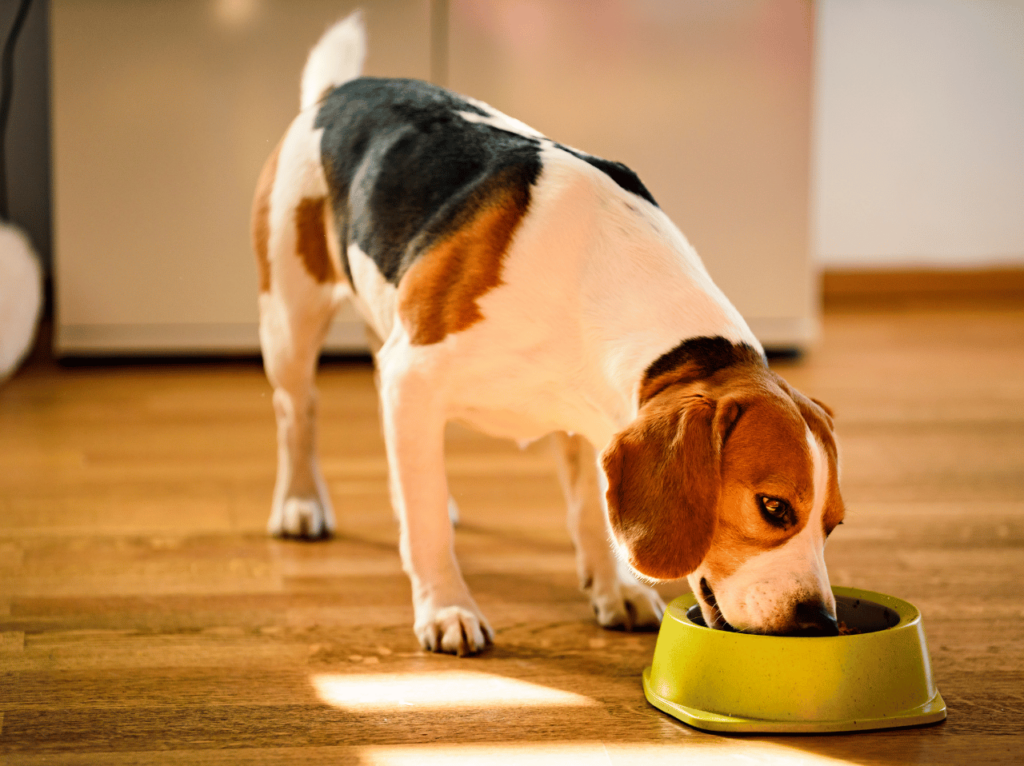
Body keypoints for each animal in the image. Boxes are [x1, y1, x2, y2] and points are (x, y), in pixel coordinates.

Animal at [251, 11, 843, 655]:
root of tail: (338, 92)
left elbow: (589, 511)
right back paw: (300, 503)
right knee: (297, 413)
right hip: (290, 322)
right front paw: (446, 607)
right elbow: (427, 526)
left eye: (834, 524)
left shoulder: (591, 419)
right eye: (774, 507)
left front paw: (613, 589)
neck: (598, 273)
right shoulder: (415, 374)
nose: (821, 622)